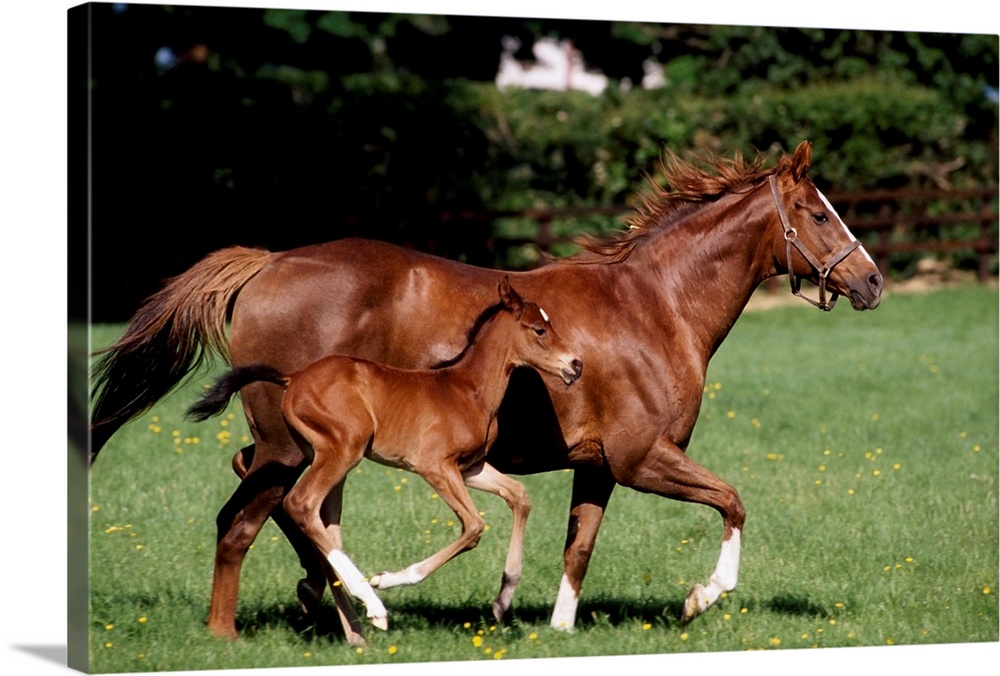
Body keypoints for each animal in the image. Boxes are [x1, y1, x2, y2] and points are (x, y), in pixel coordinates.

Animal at [185, 277, 583, 634]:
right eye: (539, 330)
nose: (576, 365)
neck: (468, 389)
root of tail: (293, 377)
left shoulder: (471, 468)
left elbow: (520, 496)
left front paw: (503, 599)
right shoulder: (434, 466)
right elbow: (473, 526)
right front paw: (387, 579)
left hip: (316, 453)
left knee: (312, 512)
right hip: (344, 448)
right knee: (301, 502)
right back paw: (371, 604)